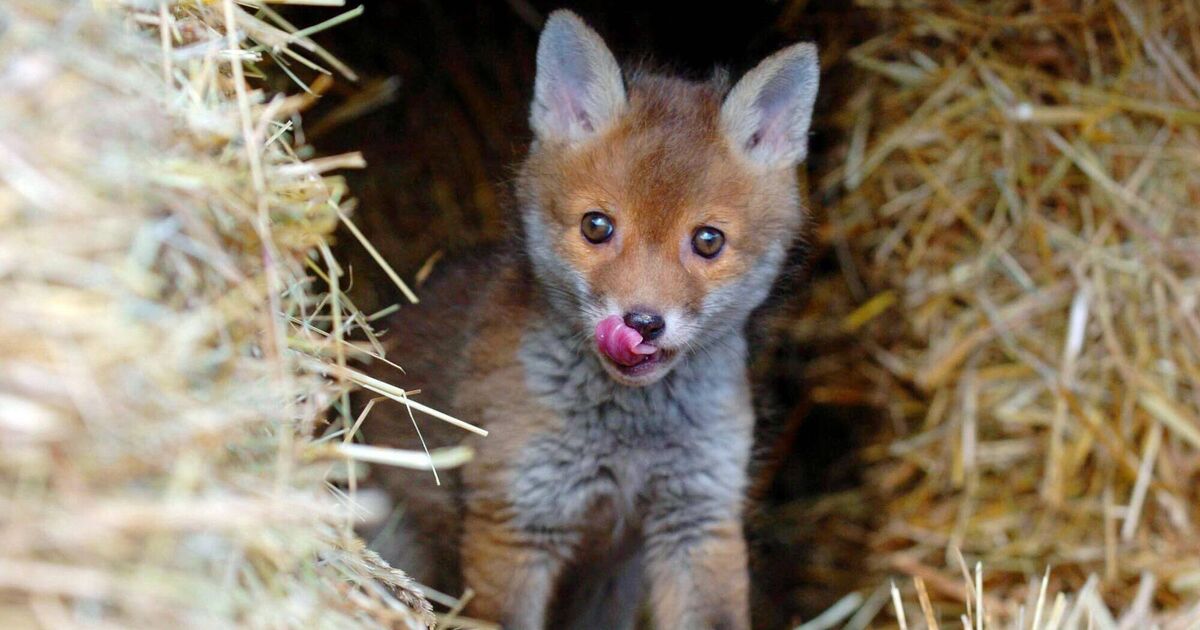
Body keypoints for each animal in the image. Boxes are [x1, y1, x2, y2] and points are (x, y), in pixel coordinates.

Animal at [363, 9, 819, 630]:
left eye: (708, 241)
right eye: (597, 227)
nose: (643, 323)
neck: (628, 439)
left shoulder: (699, 515)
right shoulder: (516, 523)